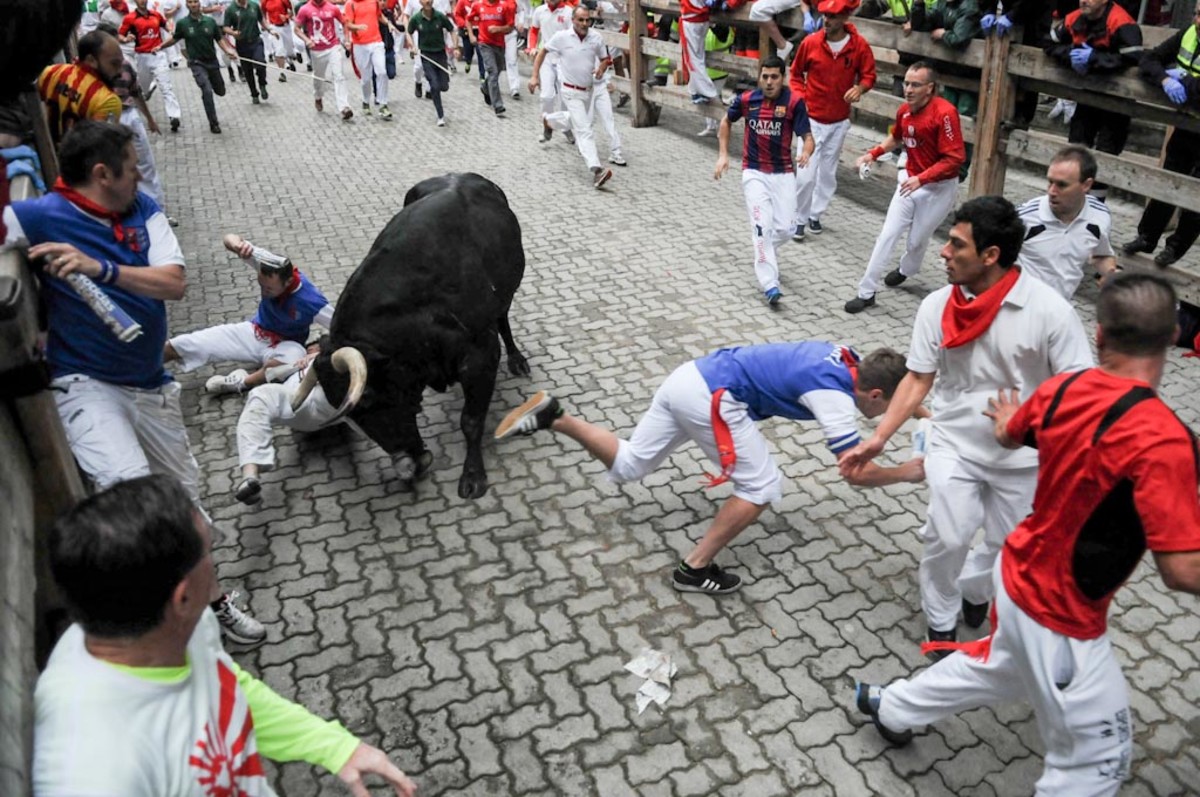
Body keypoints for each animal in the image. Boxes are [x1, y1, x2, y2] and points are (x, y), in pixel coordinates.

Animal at [312, 174, 528, 499]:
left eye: (368, 399)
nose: (411, 460)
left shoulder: (481, 352)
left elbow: (471, 420)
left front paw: (473, 475)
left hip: (505, 293)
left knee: (503, 318)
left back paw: (518, 359)